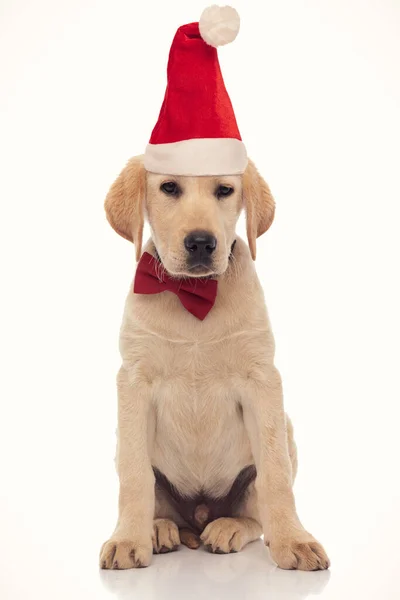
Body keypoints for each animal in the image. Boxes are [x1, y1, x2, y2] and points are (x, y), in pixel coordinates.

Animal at [98, 156, 330, 572]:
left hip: (284, 432)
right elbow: (135, 476)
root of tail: (200, 513)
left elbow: (275, 475)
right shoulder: (134, 382)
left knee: (255, 514)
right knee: (158, 499)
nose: (202, 243)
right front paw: (127, 540)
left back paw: (229, 528)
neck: (194, 295)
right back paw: (158, 530)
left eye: (224, 190)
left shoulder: (262, 381)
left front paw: (294, 541)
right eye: (169, 188)